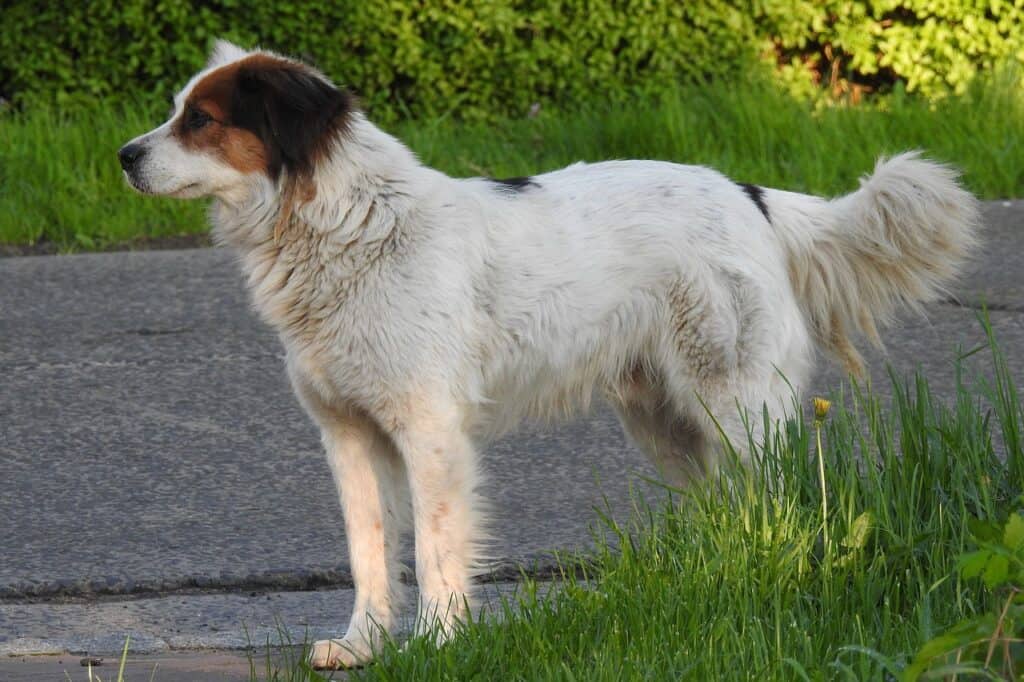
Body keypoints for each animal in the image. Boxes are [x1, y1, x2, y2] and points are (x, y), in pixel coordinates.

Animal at [119, 41, 983, 663]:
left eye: (200, 120)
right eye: (175, 112)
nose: (126, 155)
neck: (346, 226)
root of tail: (752, 195)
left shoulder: (430, 431)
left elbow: (436, 546)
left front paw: (440, 644)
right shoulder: (349, 435)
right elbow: (370, 551)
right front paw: (363, 645)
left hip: (735, 406)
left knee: (778, 502)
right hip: (667, 420)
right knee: (728, 508)